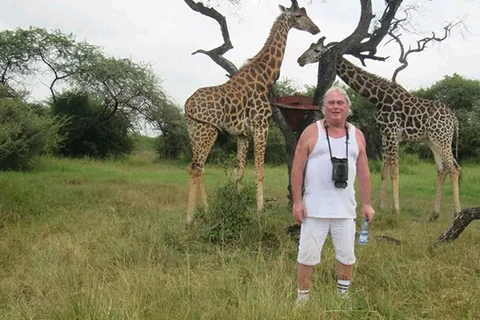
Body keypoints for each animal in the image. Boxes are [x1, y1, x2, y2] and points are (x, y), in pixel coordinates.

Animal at [183, 0, 318, 222]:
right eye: (298, 15)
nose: (316, 29)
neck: (265, 77)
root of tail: (187, 104)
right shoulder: (261, 126)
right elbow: (259, 172)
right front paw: (260, 212)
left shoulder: (243, 134)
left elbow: (239, 173)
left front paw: (237, 206)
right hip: (207, 131)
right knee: (196, 167)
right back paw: (189, 218)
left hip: (194, 131)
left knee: (196, 167)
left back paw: (207, 211)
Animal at [296, 37, 462, 221]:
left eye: (317, 50)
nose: (300, 60)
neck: (378, 98)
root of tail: (454, 119)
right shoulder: (384, 134)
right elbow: (384, 170)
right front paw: (381, 207)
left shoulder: (393, 133)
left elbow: (394, 171)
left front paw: (396, 210)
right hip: (432, 140)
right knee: (442, 169)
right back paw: (434, 214)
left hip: (442, 138)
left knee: (454, 168)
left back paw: (457, 212)